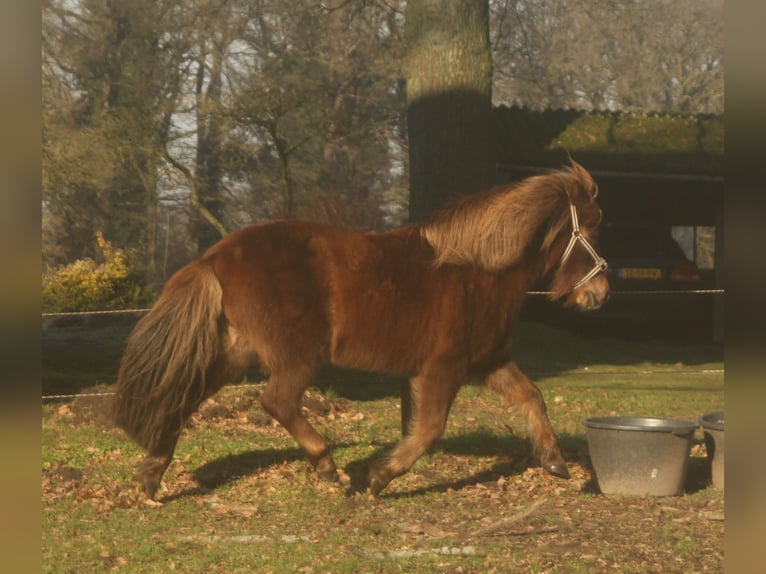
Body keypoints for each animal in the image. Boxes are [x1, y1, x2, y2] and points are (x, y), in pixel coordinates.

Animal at [111, 161, 608, 500]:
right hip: (293, 358)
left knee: (185, 396)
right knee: (277, 402)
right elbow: (429, 429)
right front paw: (378, 476)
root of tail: (214, 258)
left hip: (234, 354)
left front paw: (554, 462)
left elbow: (531, 397)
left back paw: (153, 473)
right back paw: (327, 465)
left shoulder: (488, 362)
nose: (600, 292)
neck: (477, 268)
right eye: (589, 230)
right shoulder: (442, 369)